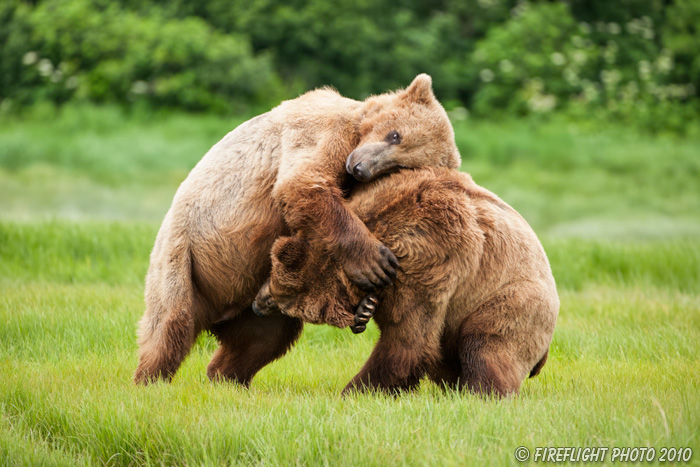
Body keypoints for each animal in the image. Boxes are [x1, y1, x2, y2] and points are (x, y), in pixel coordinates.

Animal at [132, 75, 462, 386]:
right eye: (395, 135)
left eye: (402, 166)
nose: (360, 167)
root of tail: (217, 312)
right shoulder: (323, 130)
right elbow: (303, 183)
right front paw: (375, 263)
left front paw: (364, 306)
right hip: (183, 257)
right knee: (169, 325)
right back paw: (150, 379)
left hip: (244, 296)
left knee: (264, 338)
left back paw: (228, 377)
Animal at [254, 166, 560, 396]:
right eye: (271, 276)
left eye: (282, 300)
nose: (257, 303)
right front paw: (365, 312)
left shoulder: (431, 260)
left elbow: (407, 341)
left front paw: (355, 391)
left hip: (514, 301)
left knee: (485, 343)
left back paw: (481, 392)